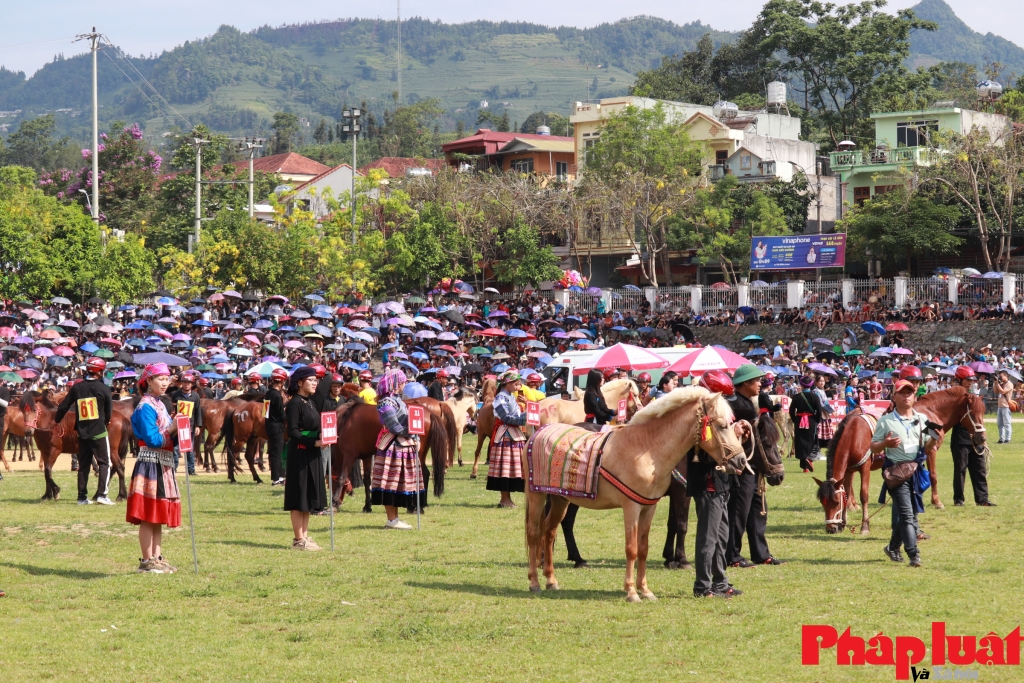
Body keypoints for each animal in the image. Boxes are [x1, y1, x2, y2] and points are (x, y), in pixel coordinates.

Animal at [524, 387, 749, 602]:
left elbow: (643, 548)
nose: (740, 461)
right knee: (535, 533)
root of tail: (537, 433)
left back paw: (551, 580)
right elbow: (632, 548)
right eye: (722, 426)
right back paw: (535, 582)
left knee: (549, 532)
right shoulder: (632, 506)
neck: (646, 449)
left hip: (560, 499)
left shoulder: (649, 507)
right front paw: (632, 592)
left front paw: (646, 590)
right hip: (537, 496)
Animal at [663, 409, 782, 569]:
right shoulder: (682, 493)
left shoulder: (675, 493)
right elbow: (682, 525)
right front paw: (682, 560)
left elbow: (672, 524)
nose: (780, 475)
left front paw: (670, 558)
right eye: (768, 443)